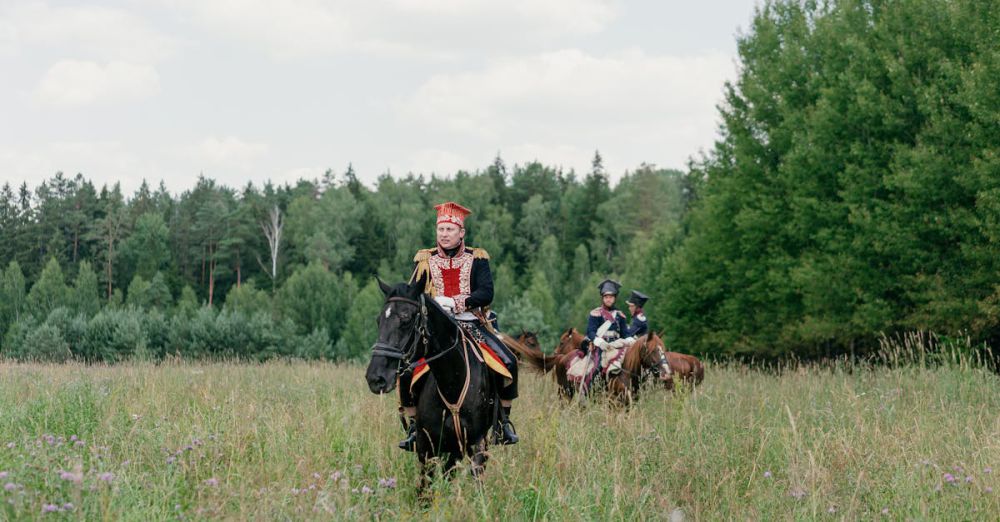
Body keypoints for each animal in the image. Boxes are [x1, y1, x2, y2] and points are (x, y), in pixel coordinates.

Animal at [364, 274, 500, 490]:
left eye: (406, 319)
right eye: (379, 320)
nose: (375, 378)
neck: (452, 382)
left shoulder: (476, 443)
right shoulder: (426, 446)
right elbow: (424, 489)